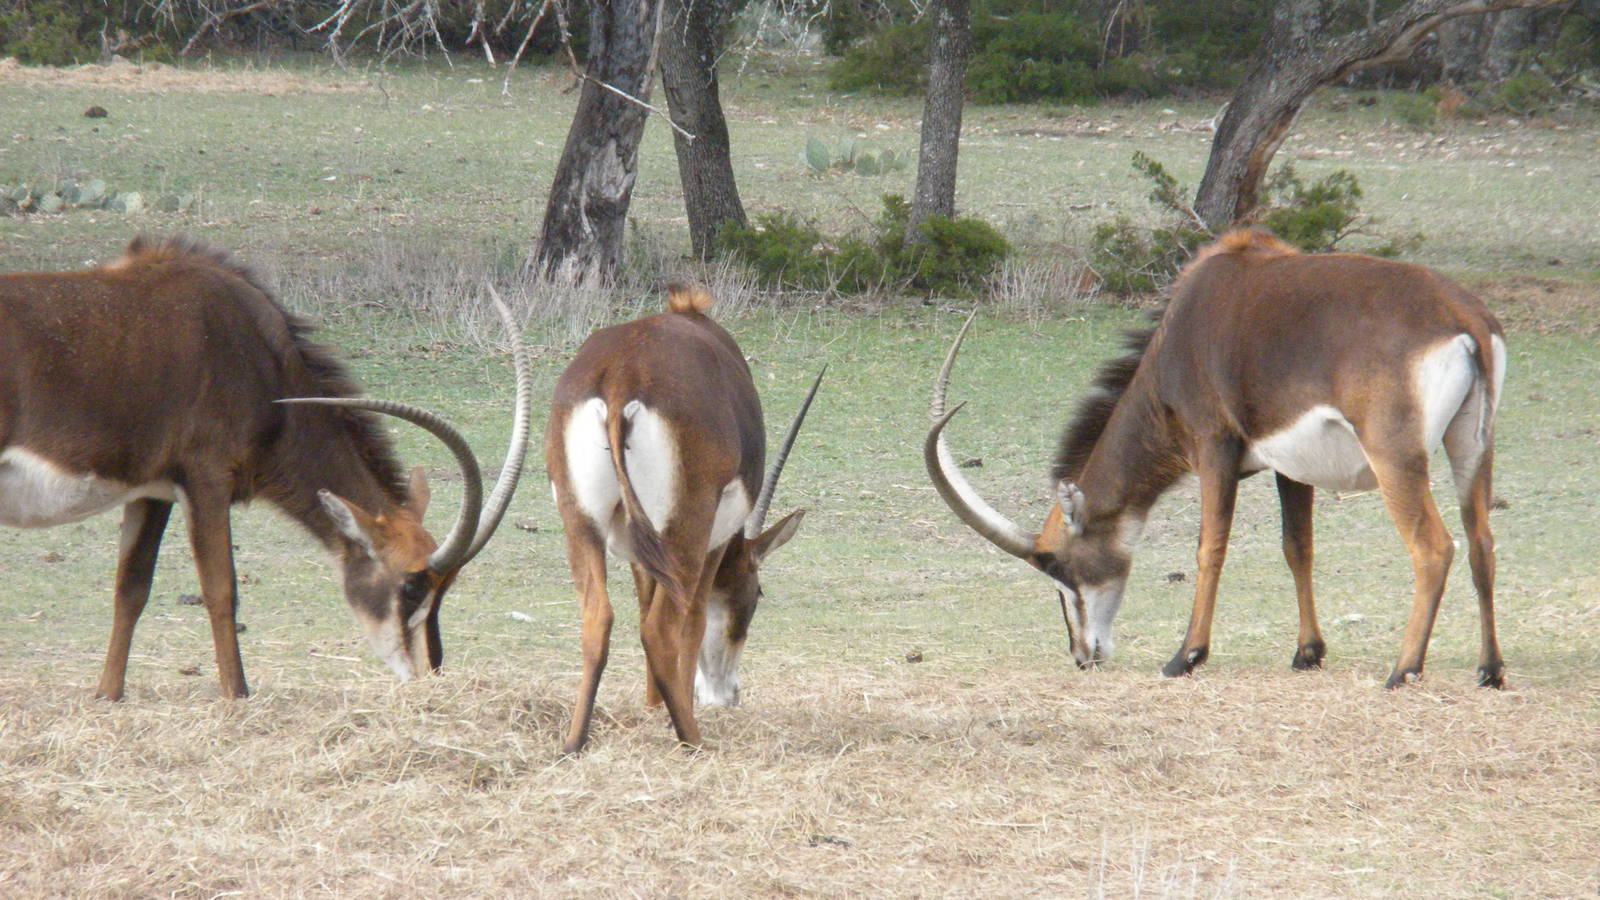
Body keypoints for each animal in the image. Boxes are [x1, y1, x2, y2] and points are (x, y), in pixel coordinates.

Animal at [0, 236, 531, 699]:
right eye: (412, 584)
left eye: (445, 586)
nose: (427, 676)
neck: (261, 356)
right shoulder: (206, 479)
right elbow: (221, 589)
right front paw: (237, 696)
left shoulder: (150, 490)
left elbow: (131, 588)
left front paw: (107, 696)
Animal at [547, 284, 821, 752]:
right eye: (757, 592)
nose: (728, 695)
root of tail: (622, 373)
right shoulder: (714, 540)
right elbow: (692, 623)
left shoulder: (641, 550)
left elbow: (644, 603)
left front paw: (654, 708)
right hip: (686, 530)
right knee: (661, 627)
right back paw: (692, 738)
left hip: (581, 522)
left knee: (598, 616)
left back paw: (574, 743)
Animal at [927, 229, 1506, 689]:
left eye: (1057, 567)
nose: (1082, 656)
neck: (1182, 330)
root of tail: (1464, 318)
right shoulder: (1290, 468)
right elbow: (1298, 548)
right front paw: (1307, 653)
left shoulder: (1214, 446)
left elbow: (1210, 548)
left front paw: (1185, 657)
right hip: (1473, 448)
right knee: (1481, 542)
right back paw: (1490, 670)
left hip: (1395, 457)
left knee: (1434, 547)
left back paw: (1403, 670)